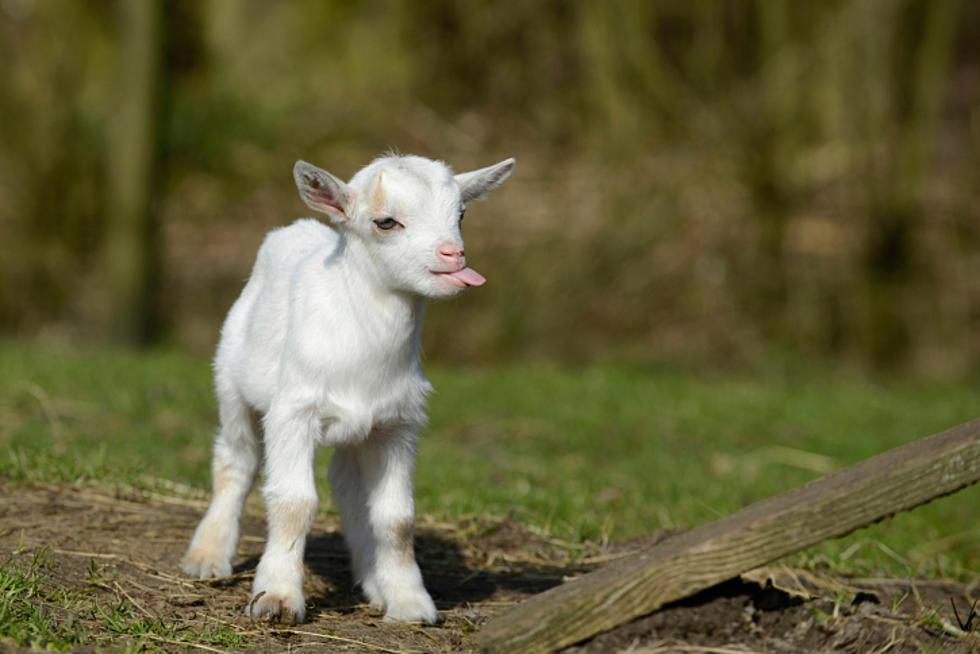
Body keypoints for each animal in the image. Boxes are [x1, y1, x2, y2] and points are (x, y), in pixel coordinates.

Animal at [186, 152, 520, 624]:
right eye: (386, 221)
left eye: (461, 214)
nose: (453, 255)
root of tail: (296, 228)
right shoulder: (294, 412)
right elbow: (294, 502)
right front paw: (277, 597)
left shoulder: (397, 424)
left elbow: (396, 517)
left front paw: (408, 601)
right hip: (232, 386)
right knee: (236, 460)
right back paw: (208, 556)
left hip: (356, 429)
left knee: (345, 484)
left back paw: (373, 581)